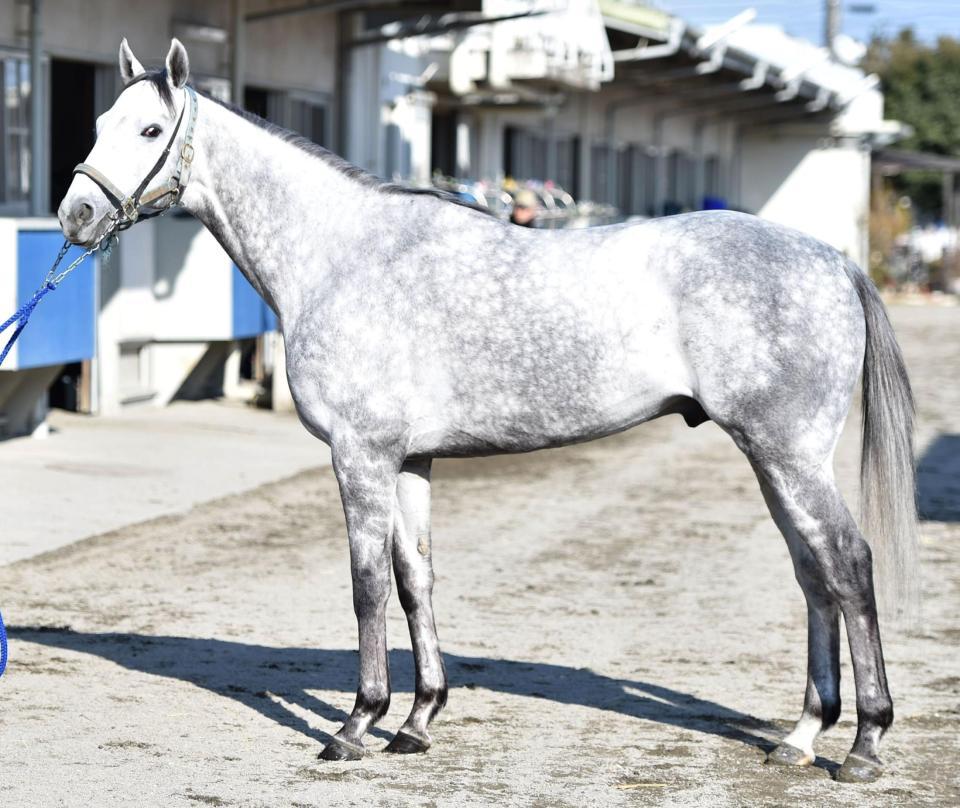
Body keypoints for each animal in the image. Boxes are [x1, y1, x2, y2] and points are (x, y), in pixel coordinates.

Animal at [58, 38, 917, 784]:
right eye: (97, 124)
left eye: (149, 129)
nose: (74, 217)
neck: (343, 254)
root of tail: (835, 262)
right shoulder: (410, 460)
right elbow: (416, 579)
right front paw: (416, 722)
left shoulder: (360, 455)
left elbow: (366, 584)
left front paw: (355, 725)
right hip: (775, 460)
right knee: (813, 573)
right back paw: (801, 737)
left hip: (787, 453)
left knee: (848, 563)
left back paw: (866, 743)